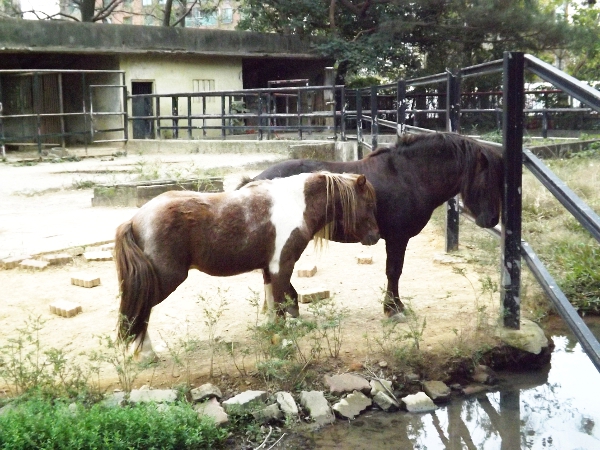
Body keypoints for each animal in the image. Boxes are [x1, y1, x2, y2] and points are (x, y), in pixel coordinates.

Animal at [114, 171, 378, 356]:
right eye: (369, 204)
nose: (375, 236)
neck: (295, 204)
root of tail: (135, 219)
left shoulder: (269, 268)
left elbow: (271, 302)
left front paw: (272, 332)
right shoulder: (282, 266)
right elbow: (280, 303)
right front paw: (282, 340)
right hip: (165, 280)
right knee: (141, 310)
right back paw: (146, 354)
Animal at [241, 133, 504, 320]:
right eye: (488, 180)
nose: (492, 221)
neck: (410, 176)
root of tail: (255, 181)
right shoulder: (398, 238)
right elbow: (394, 271)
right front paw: (393, 308)